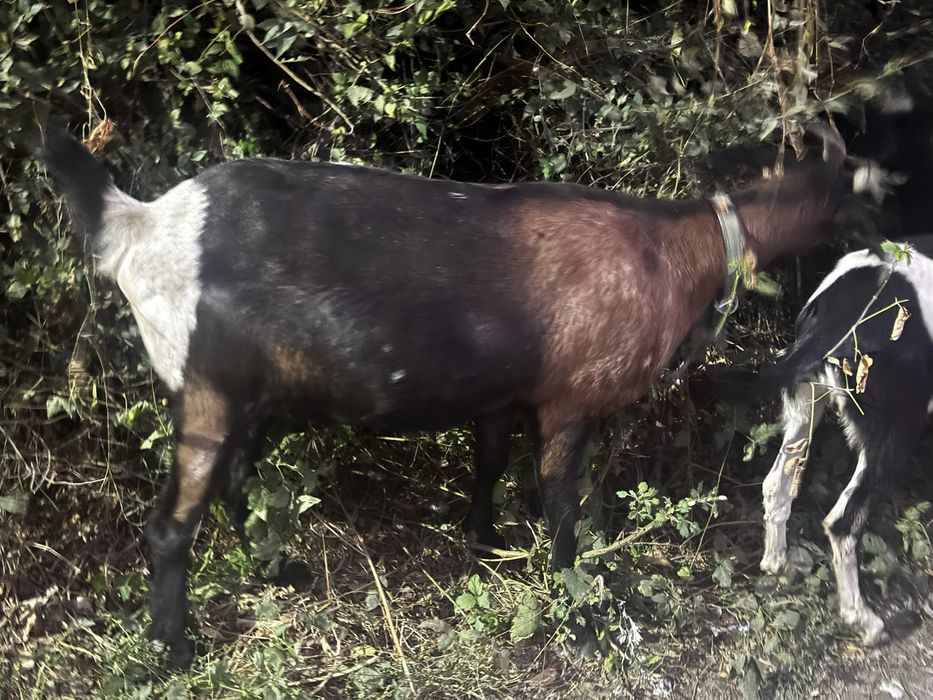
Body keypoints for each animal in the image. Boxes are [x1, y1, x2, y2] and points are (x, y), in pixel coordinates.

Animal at [41, 125, 866, 667]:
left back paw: (279, 572)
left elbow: (489, 462)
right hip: (206, 384)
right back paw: (174, 649)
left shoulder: (505, 392)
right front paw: (579, 616)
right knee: (172, 523)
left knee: (237, 482)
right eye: (868, 195)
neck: (677, 249)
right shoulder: (568, 403)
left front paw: (481, 541)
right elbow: (560, 509)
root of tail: (146, 225)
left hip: (249, 394)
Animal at [726, 236, 933, 645]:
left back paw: (778, 563)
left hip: (805, 409)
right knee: (842, 523)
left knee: (776, 485)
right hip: (890, 435)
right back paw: (864, 619)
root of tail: (838, 313)